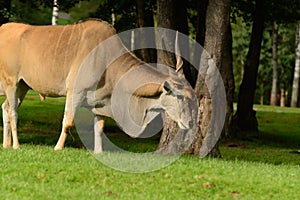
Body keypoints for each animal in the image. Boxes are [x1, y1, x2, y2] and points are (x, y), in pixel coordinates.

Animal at [0, 19, 197, 153]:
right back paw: (16, 145)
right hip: (11, 83)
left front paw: (99, 152)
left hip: (23, 86)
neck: (107, 57)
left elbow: (99, 127)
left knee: (6, 107)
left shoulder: (101, 100)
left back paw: (6, 144)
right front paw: (58, 148)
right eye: (180, 96)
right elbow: (68, 121)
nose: (190, 123)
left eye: (193, 97)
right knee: (13, 111)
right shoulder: (75, 92)